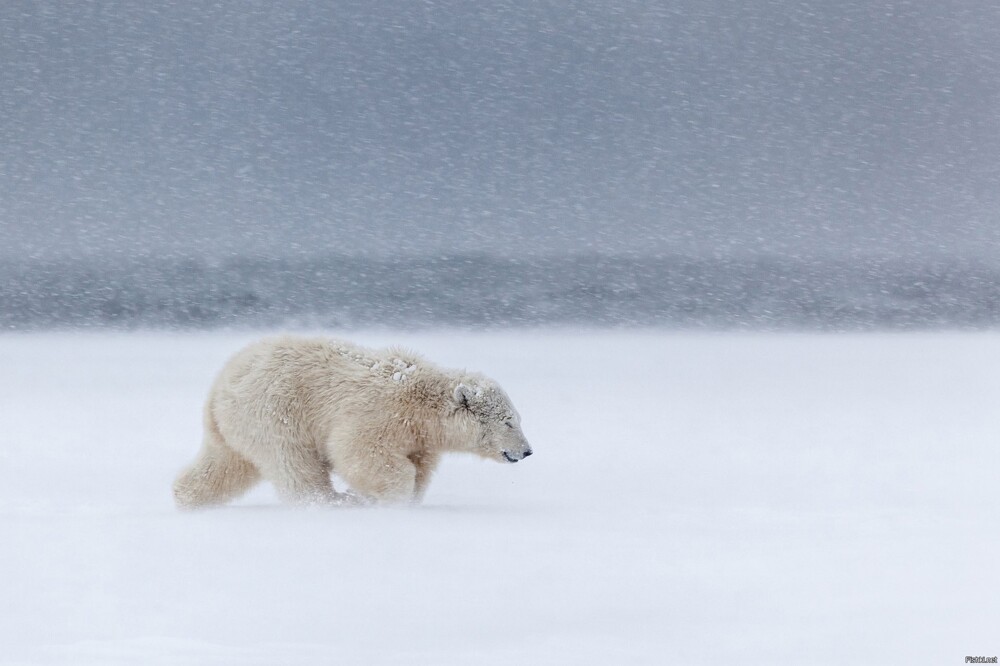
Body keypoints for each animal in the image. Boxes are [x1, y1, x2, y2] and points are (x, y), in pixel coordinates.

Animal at [174, 334, 532, 506]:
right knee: (294, 464)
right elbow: (357, 452)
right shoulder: (379, 414)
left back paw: (186, 498)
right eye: (509, 422)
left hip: (233, 428)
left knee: (224, 465)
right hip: (274, 412)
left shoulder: (419, 438)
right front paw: (382, 498)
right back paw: (333, 501)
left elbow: (419, 468)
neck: (421, 403)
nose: (527, 451)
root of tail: (220, 385)